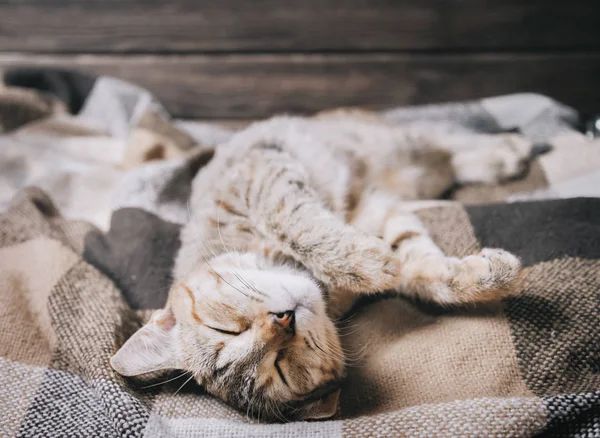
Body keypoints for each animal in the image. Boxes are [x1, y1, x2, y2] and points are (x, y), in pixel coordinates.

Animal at [110, 111, 528, 422]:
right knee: (445, 156)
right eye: (277, 366)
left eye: (226, 329)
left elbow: (296, 220)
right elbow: (420, 267)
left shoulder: (262, 175)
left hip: (391, 141)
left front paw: (363, 260)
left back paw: (507, 148)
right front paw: (479, 277)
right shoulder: (378, 210)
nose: (282, 320)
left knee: (443, 137)